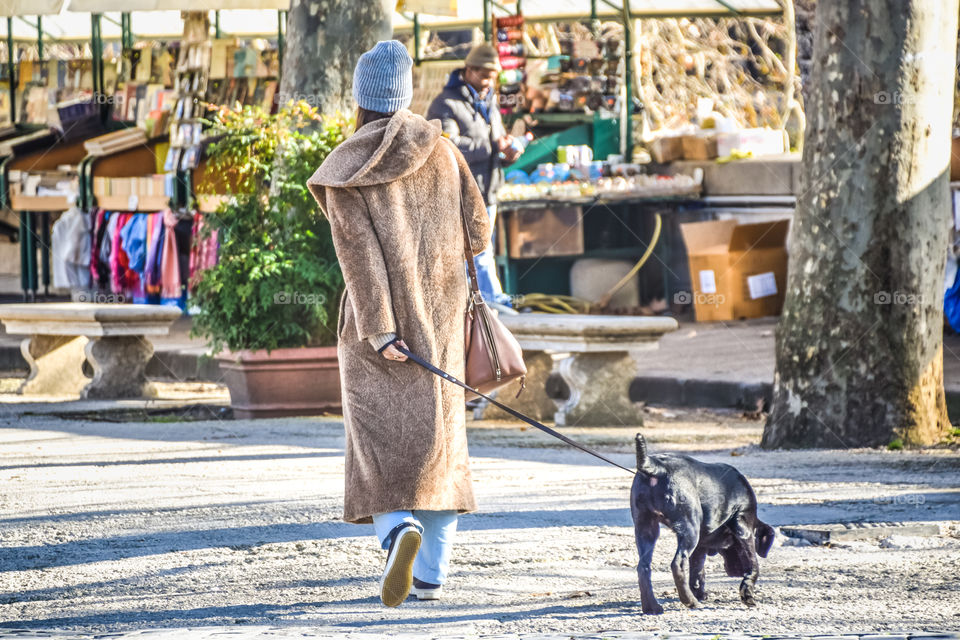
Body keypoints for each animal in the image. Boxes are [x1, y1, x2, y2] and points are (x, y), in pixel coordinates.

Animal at [628, 432, 776, 612]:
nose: (736, 572)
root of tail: (656, 466)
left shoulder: (700, 547)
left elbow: (698, 571)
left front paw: (699, 592)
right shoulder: (744, 529)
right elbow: (754, 565)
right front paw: (747, 595)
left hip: (646, 528)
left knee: (643, 567)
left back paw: (653, 607)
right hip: (690, 528)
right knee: (678, 564)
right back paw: (690, 601)